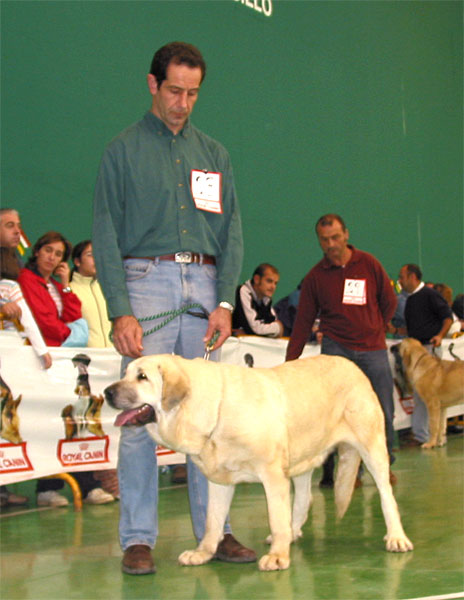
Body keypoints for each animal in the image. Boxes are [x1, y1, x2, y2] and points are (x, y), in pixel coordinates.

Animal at [105, 354, 414, 568]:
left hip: (373, 449)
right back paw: (293, 532)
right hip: (301, 457)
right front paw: (203, 553)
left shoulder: (273, 476)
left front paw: (277, 556)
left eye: (142, 377)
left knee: (387, 496)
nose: (107, 392)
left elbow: (276, 517)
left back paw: (397, 537)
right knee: (304, 500)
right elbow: (212, 522)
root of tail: (354, 367)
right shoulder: (220, 481)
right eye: (126, 373)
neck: (214, 407)